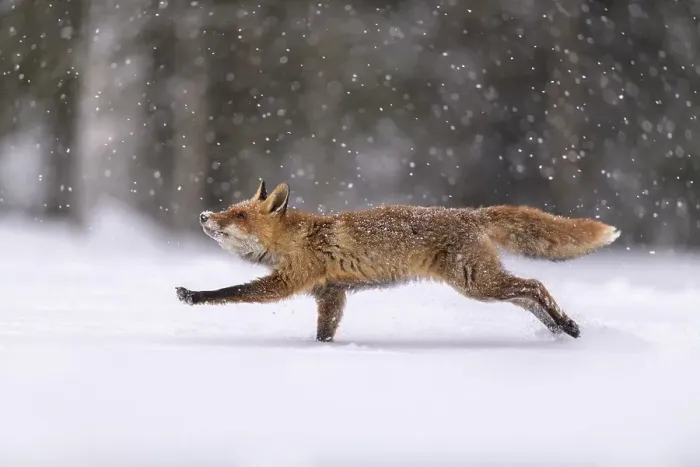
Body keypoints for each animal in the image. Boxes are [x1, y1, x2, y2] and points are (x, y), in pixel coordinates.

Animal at [176, 180, 620, 341]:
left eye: (238, 215)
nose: (203, 216)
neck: (296, 237)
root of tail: (470, 213)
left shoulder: (288, 281)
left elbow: (232, 292)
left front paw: (193, 295)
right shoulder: (331, 294)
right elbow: (324, 333)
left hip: (475, 283)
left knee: (535, 286)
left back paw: (566, 325)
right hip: (483, 284)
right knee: (527, 295)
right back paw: (558, 328)